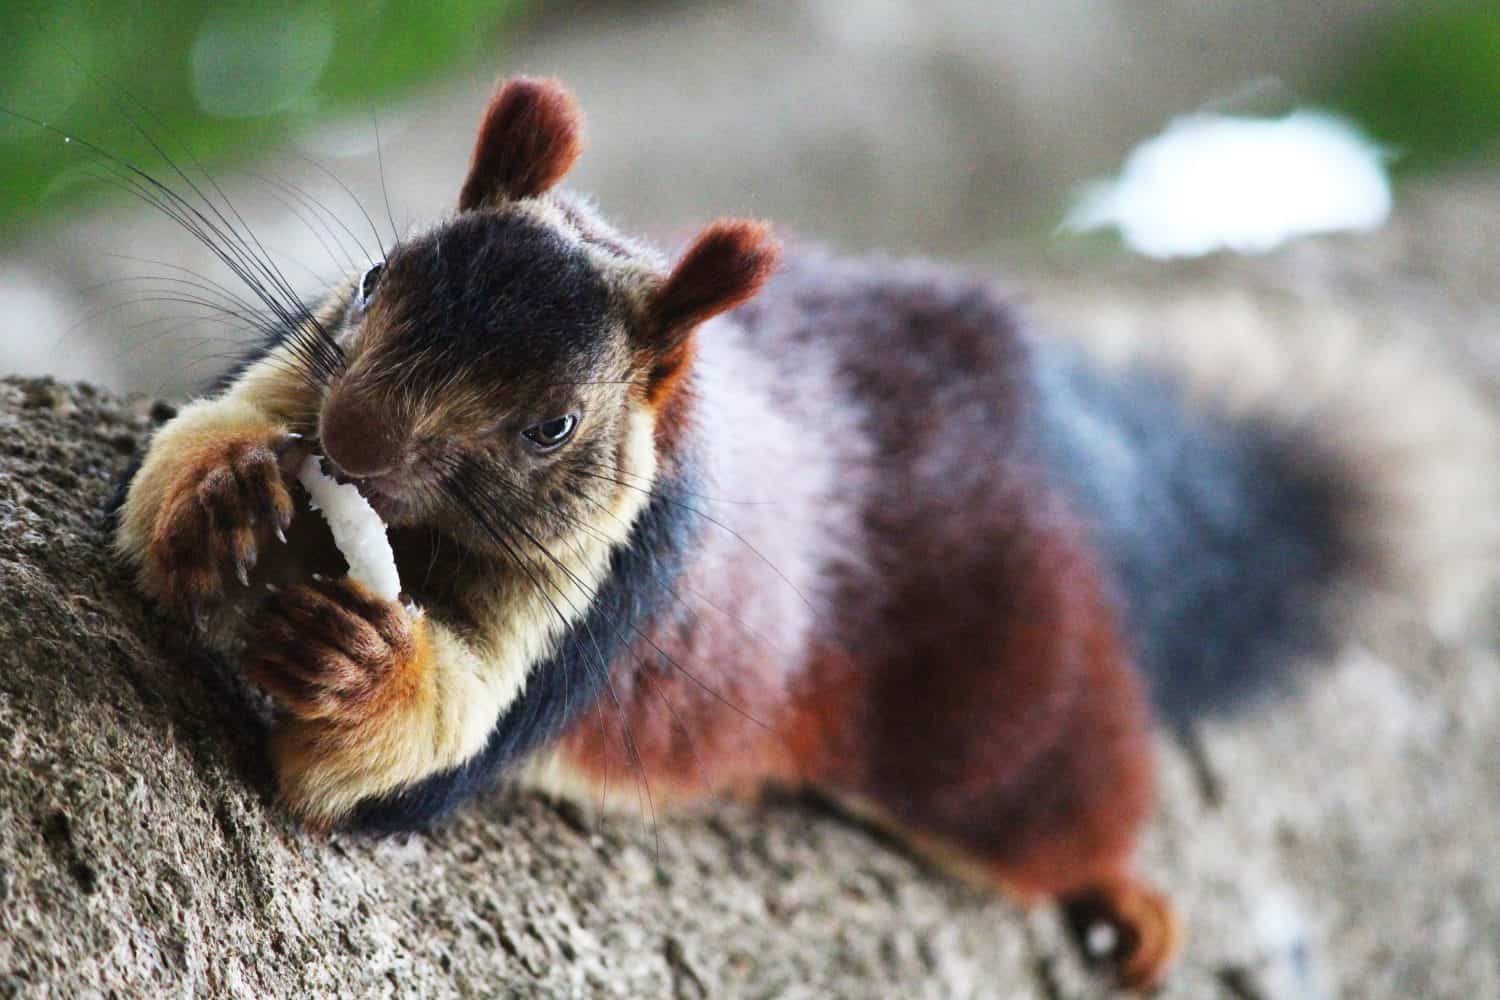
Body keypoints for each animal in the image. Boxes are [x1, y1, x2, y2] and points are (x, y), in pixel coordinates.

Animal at [111, 77, 1494, 992]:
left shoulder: (612, 590)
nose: (353, 444)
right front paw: (218, 492)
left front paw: (358, 665)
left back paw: (1119, 887)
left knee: (1064, 797)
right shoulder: (292, 362)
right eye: (367, 283)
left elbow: (401, 770)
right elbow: (167, 475)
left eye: (555, 425)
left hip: (1000, 709)